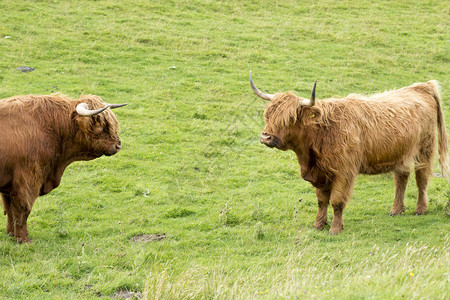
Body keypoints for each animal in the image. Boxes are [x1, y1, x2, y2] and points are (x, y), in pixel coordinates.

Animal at [0, 95, 126, 243]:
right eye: (99, 125)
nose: (118, 145)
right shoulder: (27, 181)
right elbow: (22, 210)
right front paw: (24, 239)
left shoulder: (9, 186)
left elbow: (10, 210)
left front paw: (11, 233)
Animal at [251, 71, 448, 236]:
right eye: (268, 115)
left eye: (290, 118)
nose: (265, 137)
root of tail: (420, 87)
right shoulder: (320, 173)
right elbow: (322, 201)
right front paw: (318, 225)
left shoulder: (344, 172)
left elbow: (337, 201)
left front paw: (335, 229)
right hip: (401, 154)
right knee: (401, 179)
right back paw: (396, 210)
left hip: (425, 150)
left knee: (421, 179)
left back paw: (420, 209)